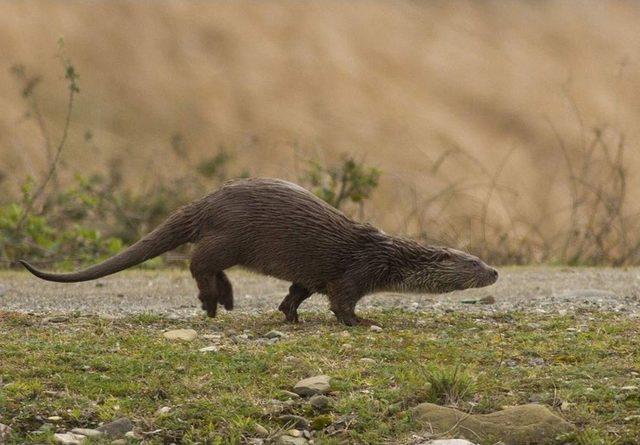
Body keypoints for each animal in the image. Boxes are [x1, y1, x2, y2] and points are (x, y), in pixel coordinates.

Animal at [20, 177, 498, 326]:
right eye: (474, 262)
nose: (495, 272)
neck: (389, 257)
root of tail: (206, 201)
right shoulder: (356, 272)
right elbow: (342, 302)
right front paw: (361, 322)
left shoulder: (313, 275)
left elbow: (298, 292)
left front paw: (289, 314)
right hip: (231, 236)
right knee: (198, 261)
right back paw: (214, 301)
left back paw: (224, 298)